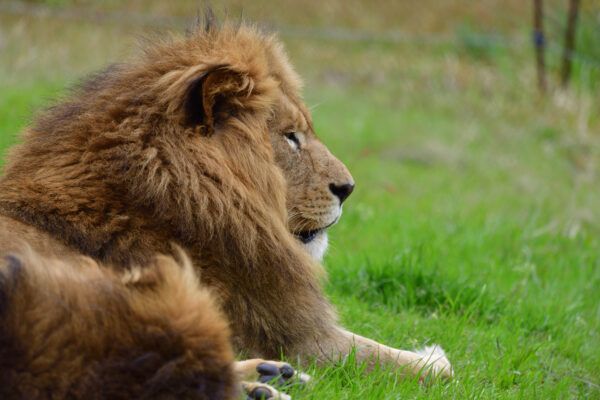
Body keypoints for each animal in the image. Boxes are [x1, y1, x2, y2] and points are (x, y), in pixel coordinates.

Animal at [0, 14, 450, 398]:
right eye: (291, 136)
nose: (348, 188)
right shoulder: (296, 336)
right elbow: (424, 368)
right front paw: (430, 357)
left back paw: (269, 380)